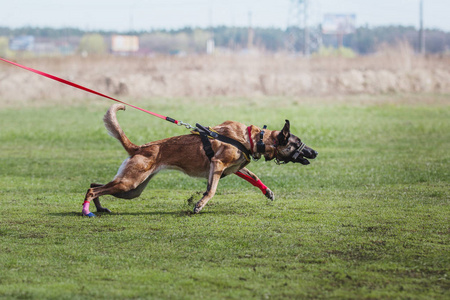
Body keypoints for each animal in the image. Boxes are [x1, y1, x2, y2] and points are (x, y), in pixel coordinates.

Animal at [82, 103, 318, 216]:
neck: (253, 138)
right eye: (298, 143)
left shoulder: (233, 168)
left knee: (95, 184)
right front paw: (199, 205)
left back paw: (100, 209)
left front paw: (267, 191)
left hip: (132, 189)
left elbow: (252, 175)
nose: (315, 152)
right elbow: (211, 190)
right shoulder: (218, 164)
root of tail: (139, 148)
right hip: (130, 183)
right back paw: (87, 211)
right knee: (93, 189)